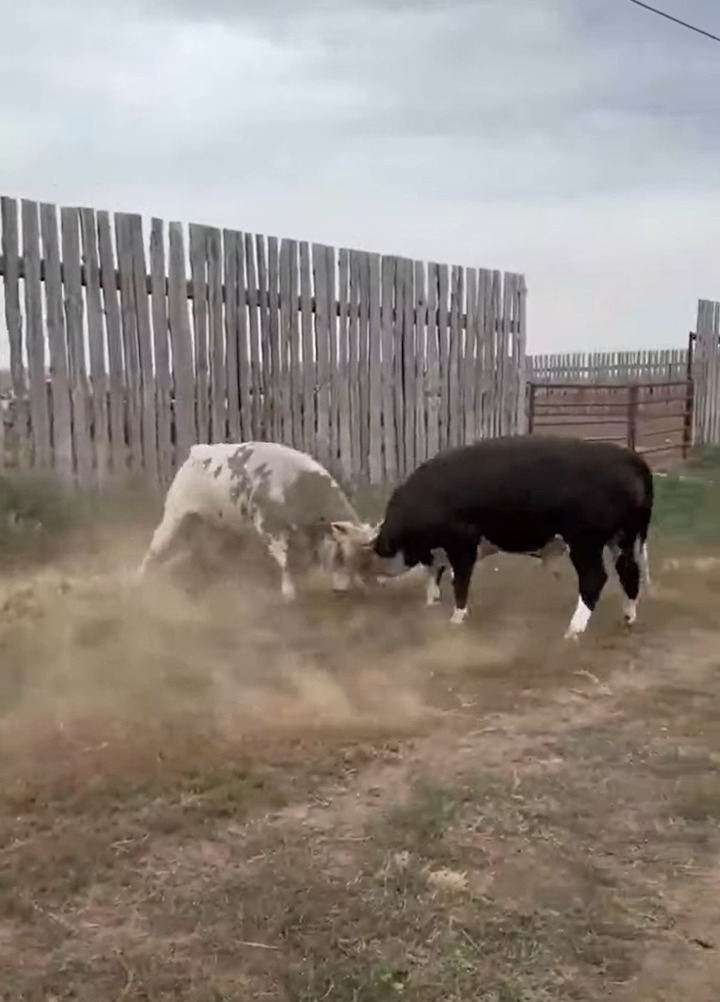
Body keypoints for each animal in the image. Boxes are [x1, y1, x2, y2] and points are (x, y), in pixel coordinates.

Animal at [138, 444, 380, 597]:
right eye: (342, 555)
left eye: (365, 559)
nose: (343, 591)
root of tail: (197, 451)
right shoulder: (271, 528)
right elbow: (284, 561)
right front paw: (289, 592)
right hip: (175, 515)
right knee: (156, 548)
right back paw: (139, 579)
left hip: (215, 526)